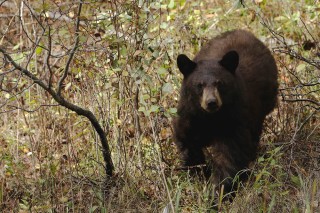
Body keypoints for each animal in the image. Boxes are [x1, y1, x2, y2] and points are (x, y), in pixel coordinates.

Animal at [172, 29, 278, 196]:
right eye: (199, 85)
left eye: (219, 83)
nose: (211, 102)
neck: (211, 117)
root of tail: (244, 32)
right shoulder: (190, 114)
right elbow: (186, 139)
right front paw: (199, 173)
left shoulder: (234, 119)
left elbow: (230, 154)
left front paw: (218, 190)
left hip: (261, 108)